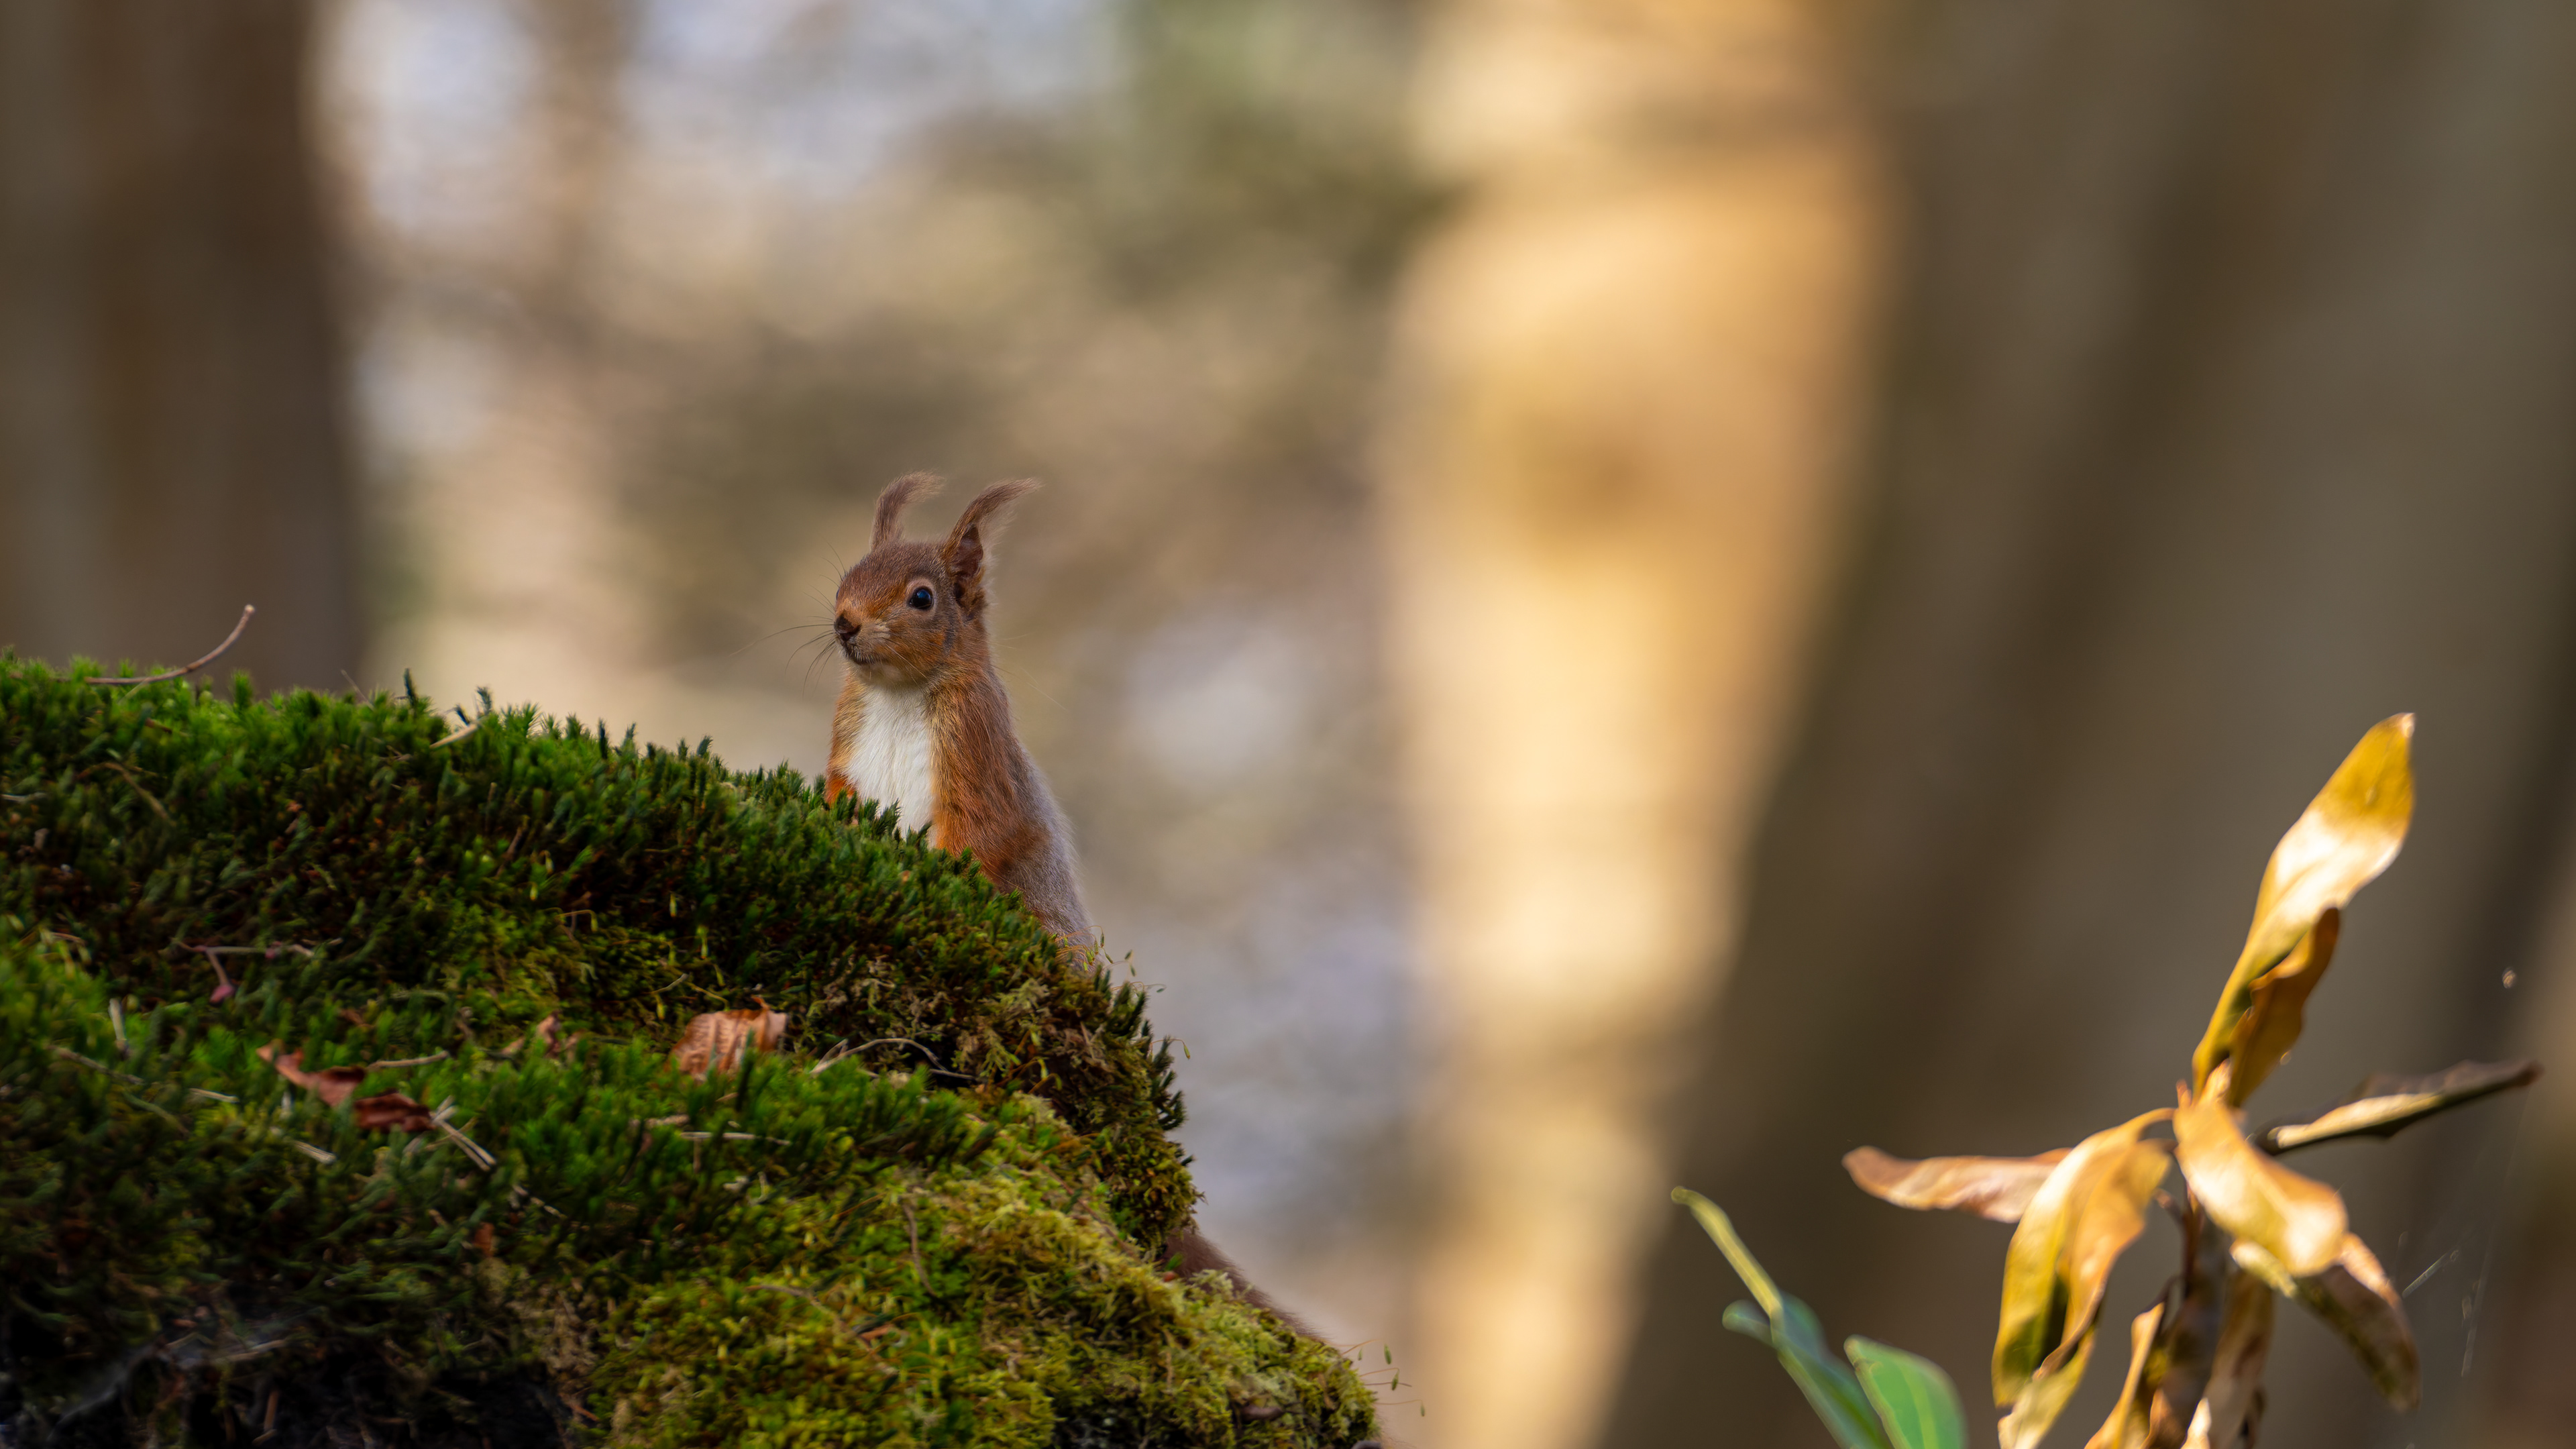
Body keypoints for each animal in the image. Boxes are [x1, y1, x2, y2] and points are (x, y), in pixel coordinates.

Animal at [824, 475, 1317, 1337]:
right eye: (851, 572)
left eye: (922, 597)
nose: (845, 623)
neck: (895, 698)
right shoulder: (843, 756)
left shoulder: (979, 762)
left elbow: (978, 841)